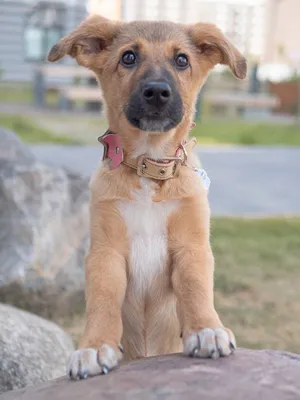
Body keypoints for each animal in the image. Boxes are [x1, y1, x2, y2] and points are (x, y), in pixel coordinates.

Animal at [48, 14, 246, 378]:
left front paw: (207, 329)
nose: (156, 92)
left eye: (181, 60)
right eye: (128, 57)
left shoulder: (191, 246)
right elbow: (102, 300)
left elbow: (196, 289)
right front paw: (94, 346)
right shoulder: (105, 251)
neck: (149, 169)